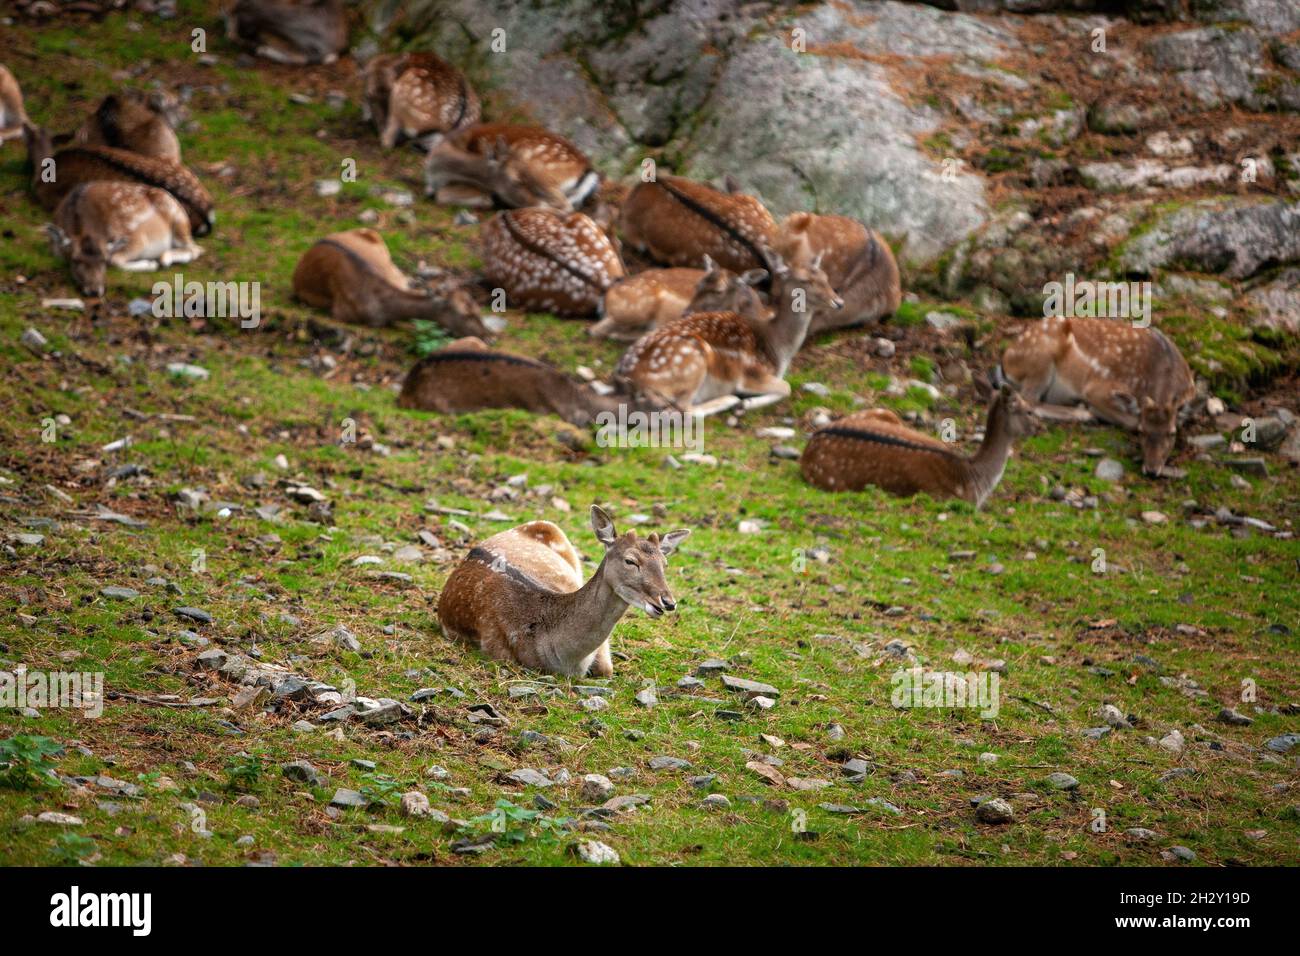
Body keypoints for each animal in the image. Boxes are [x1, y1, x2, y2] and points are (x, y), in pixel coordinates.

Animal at [46, 182, 203, 297]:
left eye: (104, 260)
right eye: (75, 260)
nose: (95, 291)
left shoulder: (137, 239)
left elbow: (115, 260)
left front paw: (150, 264)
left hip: (178, 219)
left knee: (195, 249)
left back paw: (164, 258)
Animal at [588, 255, 768, 342]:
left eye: (719, 291)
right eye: (697, 284)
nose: (686, 312)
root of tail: (608, 295)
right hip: (636, 307)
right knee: (596, 329)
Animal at [614, 252, 841, 416]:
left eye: (826, 277)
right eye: (804, 280)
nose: (838, 302)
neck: (778, 348)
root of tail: (628, 377)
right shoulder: (751, 372)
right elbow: (786, 387)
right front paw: (745, 404)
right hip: (693, 359)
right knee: (684, 408)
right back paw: (730, 400)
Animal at [800, 384, 1041, 508]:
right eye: (1029, 411)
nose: (1041, 427)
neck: (975, 480)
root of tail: (809, 445)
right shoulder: (941, 496)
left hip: (883, 411)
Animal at [999, 316, 1196, 477]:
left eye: (1172, 433)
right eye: (1142, 432)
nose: (1152, 470)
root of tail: (1006, 360)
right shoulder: (1096, 388)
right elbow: (1129, 420)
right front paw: (1092, 409)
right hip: (1041, 360)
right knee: (1029, 400)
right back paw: (1083, 412)